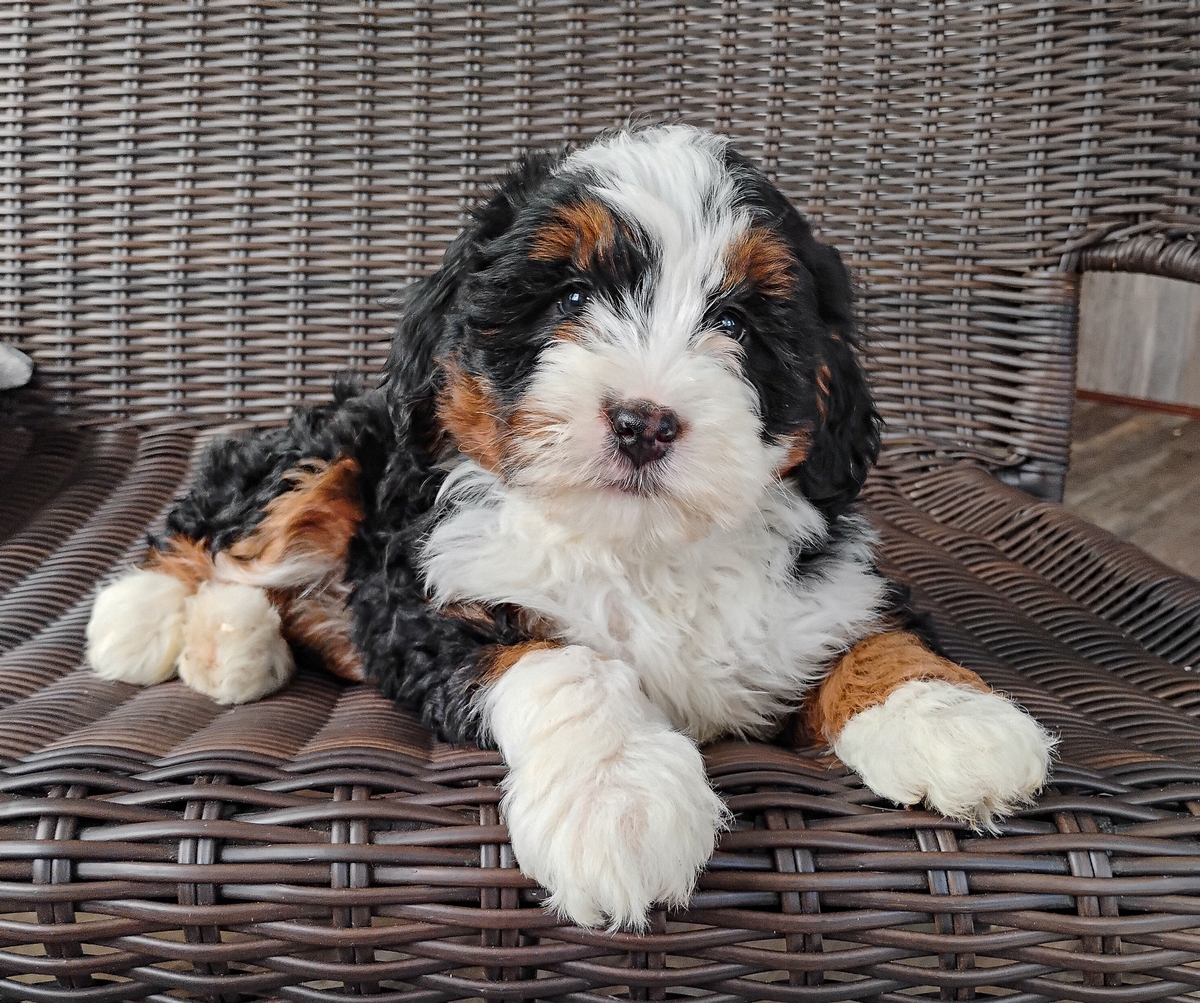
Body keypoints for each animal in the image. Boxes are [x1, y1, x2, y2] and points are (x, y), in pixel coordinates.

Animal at [87, 125, 1055, 931]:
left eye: (736, 322)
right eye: (573, 297)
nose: (643, 421)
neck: (641, 547)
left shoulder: (835, 582)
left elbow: (879, 637)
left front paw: (952, 721)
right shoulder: (430, 596)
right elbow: (566, 662)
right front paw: (617, 801)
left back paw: (232, 645)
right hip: (338, 444)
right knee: (223, 526)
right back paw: (146, 618)